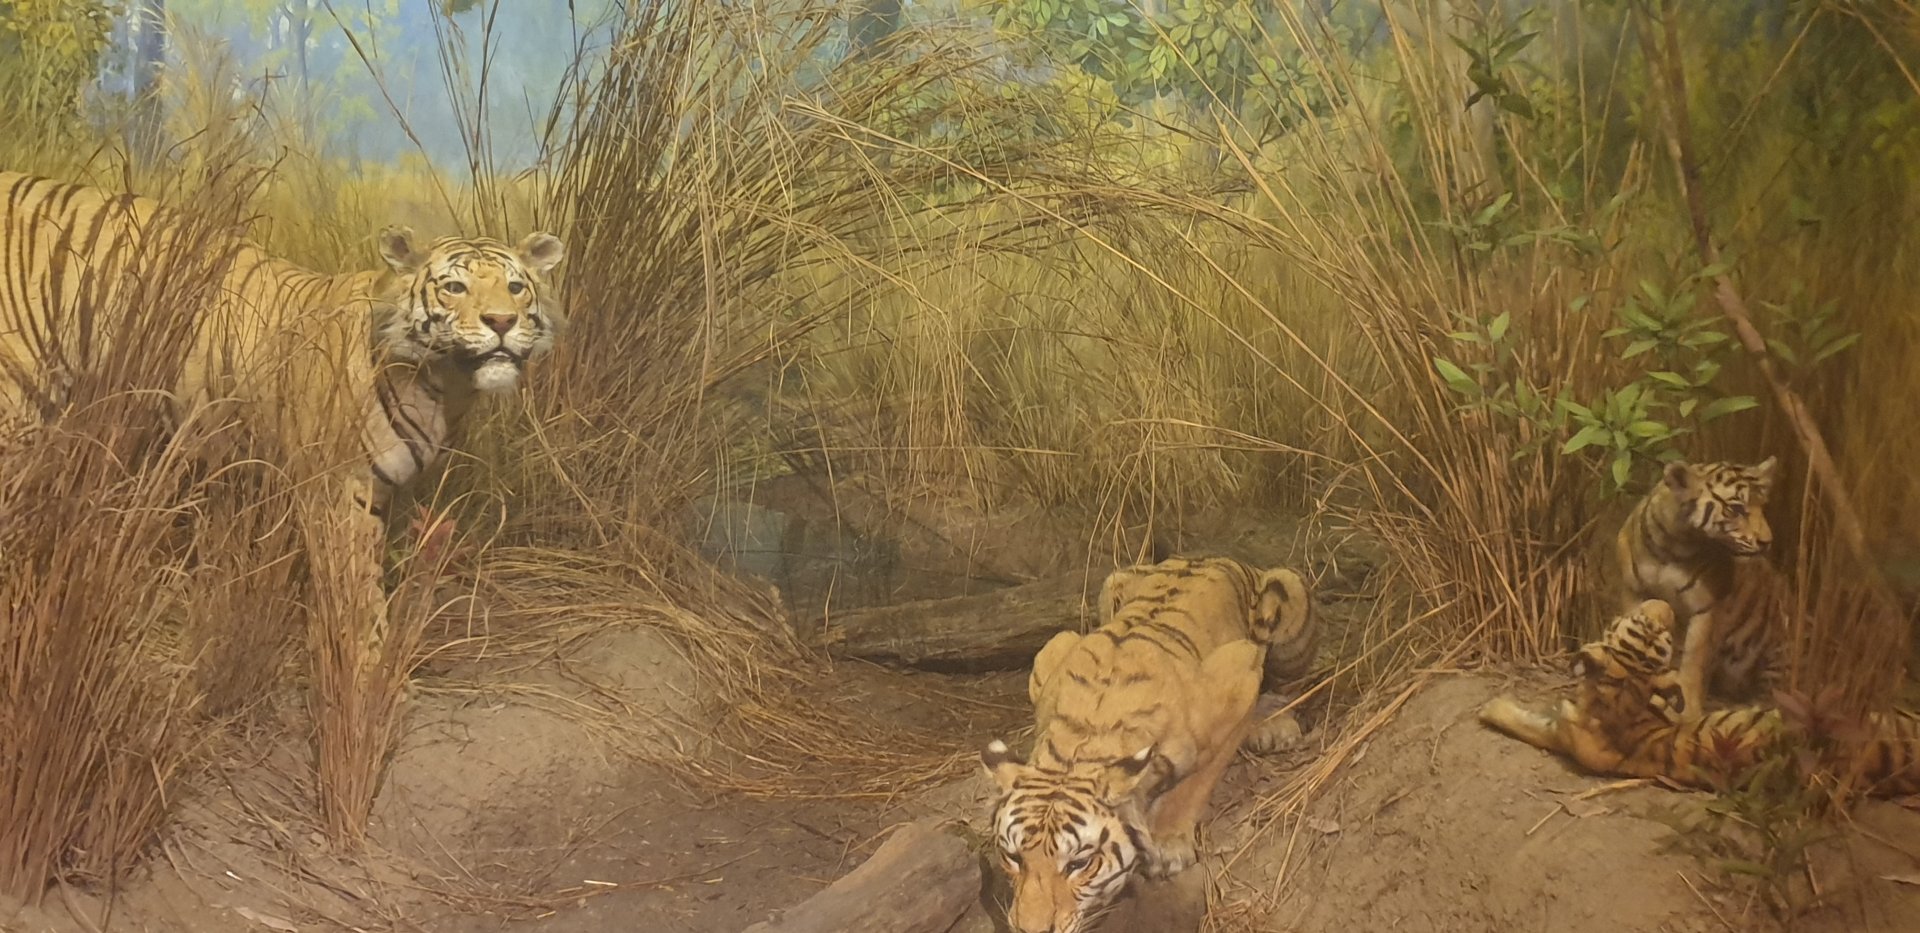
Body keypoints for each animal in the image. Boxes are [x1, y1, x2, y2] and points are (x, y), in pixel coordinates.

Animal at [0, 170, 564, 617]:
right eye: (454, 288)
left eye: (515, 288)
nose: (501, 321)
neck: (446, 386)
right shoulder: (337, 492)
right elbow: (358, 602)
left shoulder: (377, 494)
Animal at [980, 556, 1318, 933]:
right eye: (1013, 857)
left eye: (1079, 864)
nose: (1031, 930)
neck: (1080, 747)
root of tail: (1214, 556)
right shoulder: (1053, 652)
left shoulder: (1240, 673)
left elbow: (1197, 780)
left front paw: (1169, 846)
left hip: (1288, 607)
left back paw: (1276, 725)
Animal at [1480, 599, 1920, 796]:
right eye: (1643, 623)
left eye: (1660, 631)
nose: (1664, 602)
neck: (1623, 698)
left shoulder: (1559, 729)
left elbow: (1522, 720)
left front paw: (1489, 707)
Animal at [1616, 456, 1789, 718]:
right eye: (1736, 509)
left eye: (1763, 506)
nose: (1766, 542)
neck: (1673, 544)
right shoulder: (1633, 590)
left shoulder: (1706, 607)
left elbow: (1694, 661)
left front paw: (1687, 711)